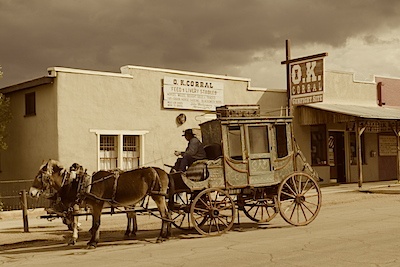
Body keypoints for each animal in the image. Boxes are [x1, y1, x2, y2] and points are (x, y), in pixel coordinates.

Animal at [29, 159, 170, 249]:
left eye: (40, 176)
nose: (31, 192)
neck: (80, 184)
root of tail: (163, 172)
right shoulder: (91, 207)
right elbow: (92, 224)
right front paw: (89, 239)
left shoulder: (95, 205)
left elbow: (95, 223)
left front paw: (92, 242)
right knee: (164, 215)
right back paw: (165, 235)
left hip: (158, 196)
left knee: (164, 215)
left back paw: (161, 237)